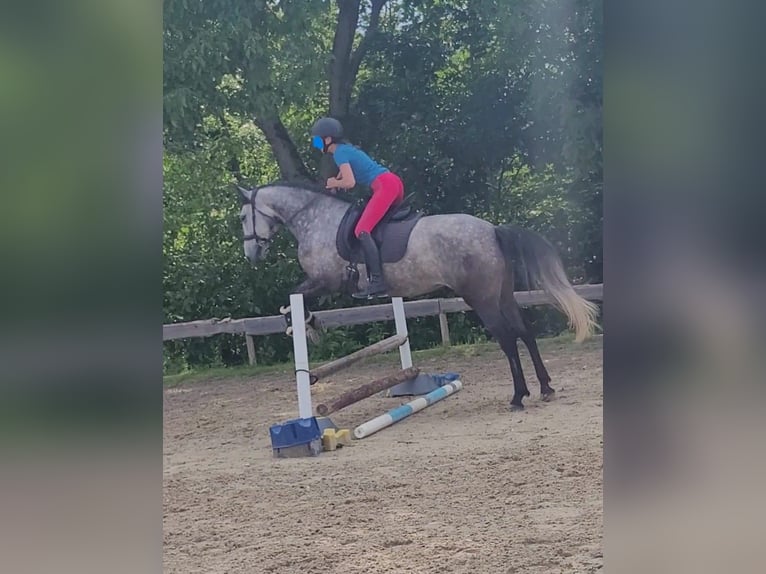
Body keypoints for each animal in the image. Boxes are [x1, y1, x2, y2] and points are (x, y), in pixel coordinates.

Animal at [237, 180, 599, 410]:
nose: (251, 254)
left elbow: (293, 298)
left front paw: (306, 326)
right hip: (502, 294)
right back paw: (546, 388)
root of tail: (492, 230)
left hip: (481, 299)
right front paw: (308, 325)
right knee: (525, 332)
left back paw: (518, 397)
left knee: (508, 339)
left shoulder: (325, 280)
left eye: (242, 217)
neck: (315, 220)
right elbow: (292, 299)